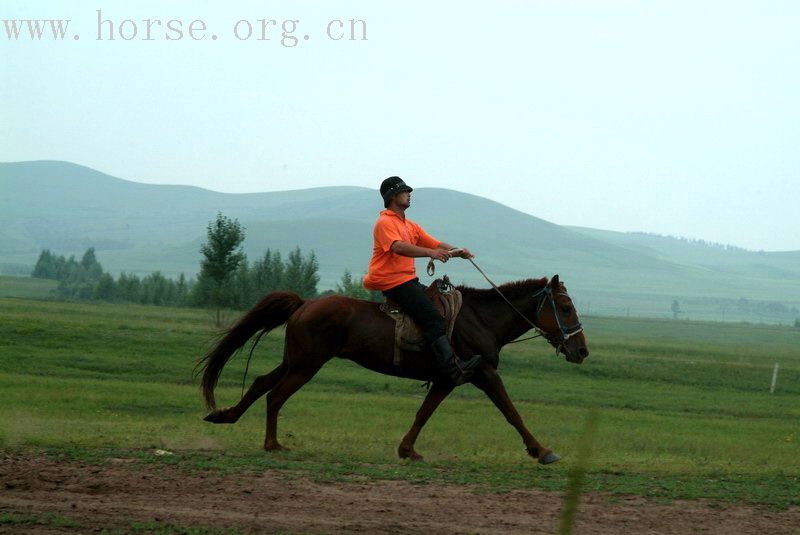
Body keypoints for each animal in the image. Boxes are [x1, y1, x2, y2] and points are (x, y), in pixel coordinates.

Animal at [198, 274, 588, 462]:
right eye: (565, 307)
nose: (581, 350)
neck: (481, 319)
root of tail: (305, 303)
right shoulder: (481, 374)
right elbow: (511, 412)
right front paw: (542, 451)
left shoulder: (447, 379)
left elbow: (424, 413)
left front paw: (407, 450)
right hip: (306, 365)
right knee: (276, 396)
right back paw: (272, 444)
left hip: (295, 360)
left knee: (261, 383)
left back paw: (225, 415)